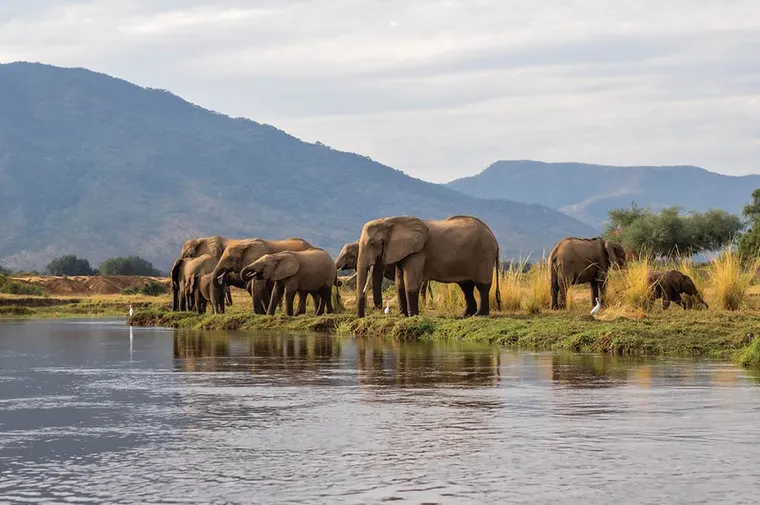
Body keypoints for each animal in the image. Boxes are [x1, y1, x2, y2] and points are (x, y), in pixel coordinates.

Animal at [354, 215, 501, 318]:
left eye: (373, 243)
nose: (362, 317)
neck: (391, 220)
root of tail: (494, 238)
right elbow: (399, 282)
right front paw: (402, 315)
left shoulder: (418, 252)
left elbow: (411, 282)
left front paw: (412, 316)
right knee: (466, 286)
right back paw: (465, 315)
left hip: (484, 255)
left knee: (482, 286)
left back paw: (479, 315)